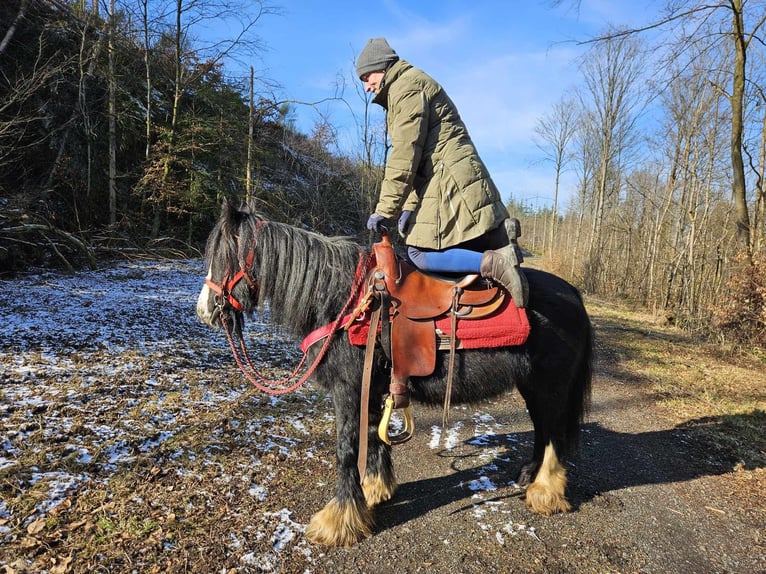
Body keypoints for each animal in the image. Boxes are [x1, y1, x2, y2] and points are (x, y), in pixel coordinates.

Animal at [198, 204, 592, 548]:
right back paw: (529, 477)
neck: (343, 302)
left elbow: (346, 449)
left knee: (555, 434)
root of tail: (573, 294)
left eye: (224, 258)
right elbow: (374, 436)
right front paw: (375, 491)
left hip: (551, 387)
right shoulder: (371, 389)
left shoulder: (348, 390)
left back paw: (545, 492)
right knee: (543, 430)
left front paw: (337, 522)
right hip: (533, 387)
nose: (205, 310)